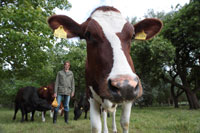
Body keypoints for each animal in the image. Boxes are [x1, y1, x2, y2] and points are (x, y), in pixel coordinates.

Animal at [47, 5, 162, 133]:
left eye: (132, 35)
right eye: (88, 34)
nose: (125, 86)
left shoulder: (130, 97)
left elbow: (125, 123)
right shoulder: (92, 98)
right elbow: (96, 125)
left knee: (113, 112)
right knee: (105, 113)